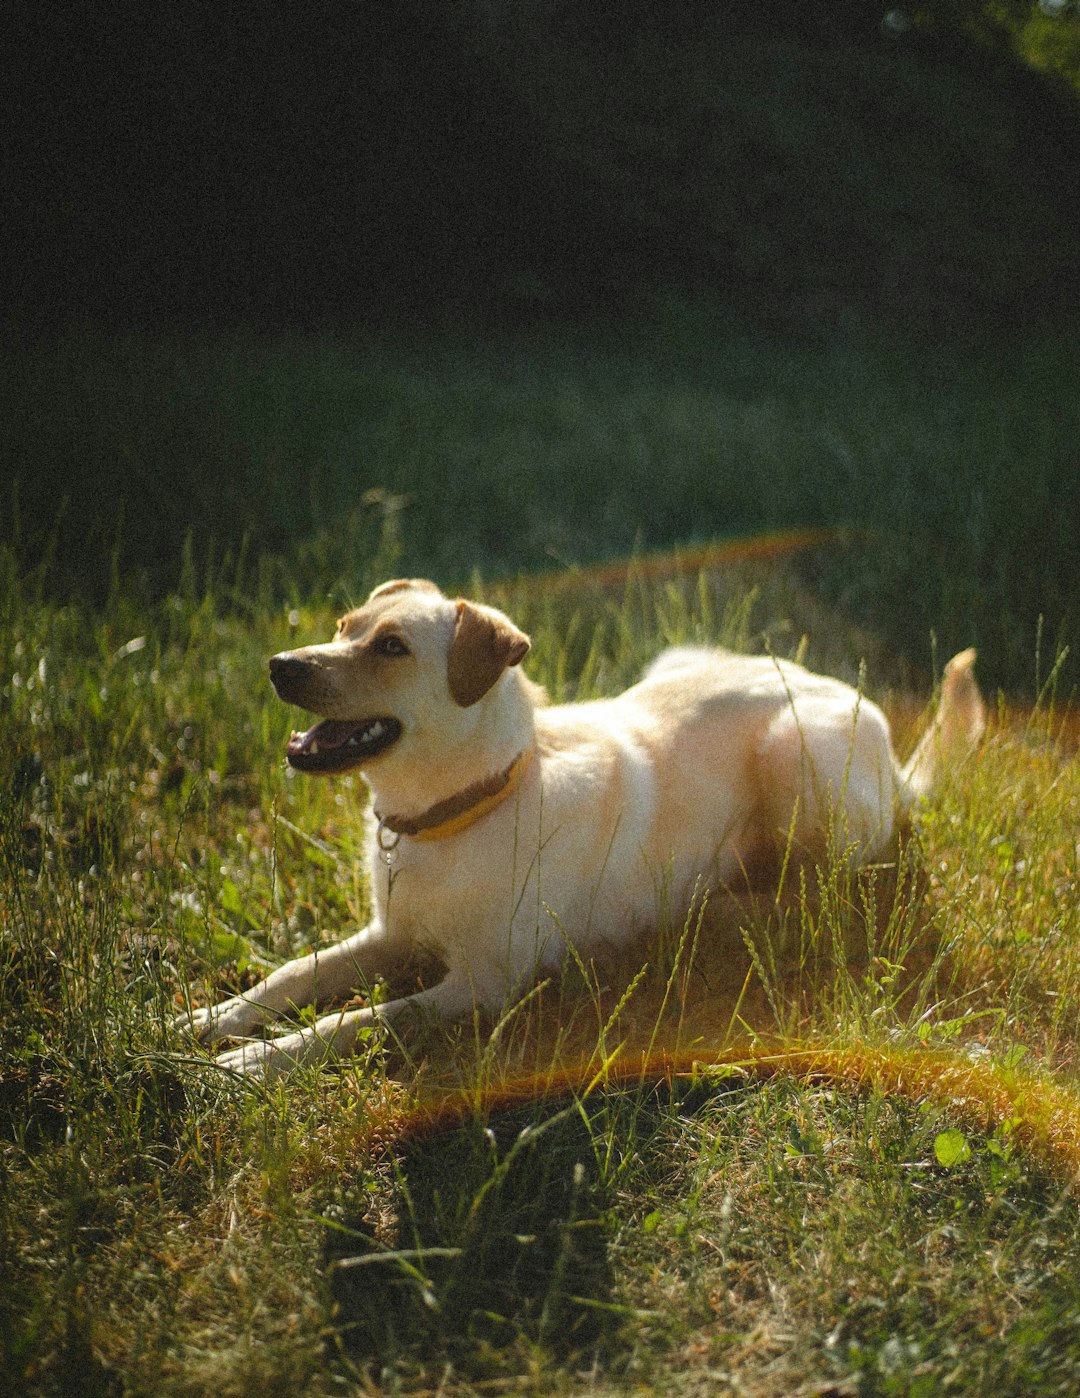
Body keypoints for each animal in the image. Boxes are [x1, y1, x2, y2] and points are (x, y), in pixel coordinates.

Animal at [181, 573, 983, 1073]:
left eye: (391, 647)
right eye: (343, 628)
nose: (280, 664)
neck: (459, 811)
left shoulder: (480, 989)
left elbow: (353, 1019)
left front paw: (247, 1064)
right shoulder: (392, 934)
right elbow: (294, 973)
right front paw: (203, 1022)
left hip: (800, 758)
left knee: (839, 886)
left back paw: (718, 910)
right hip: (679, 660)